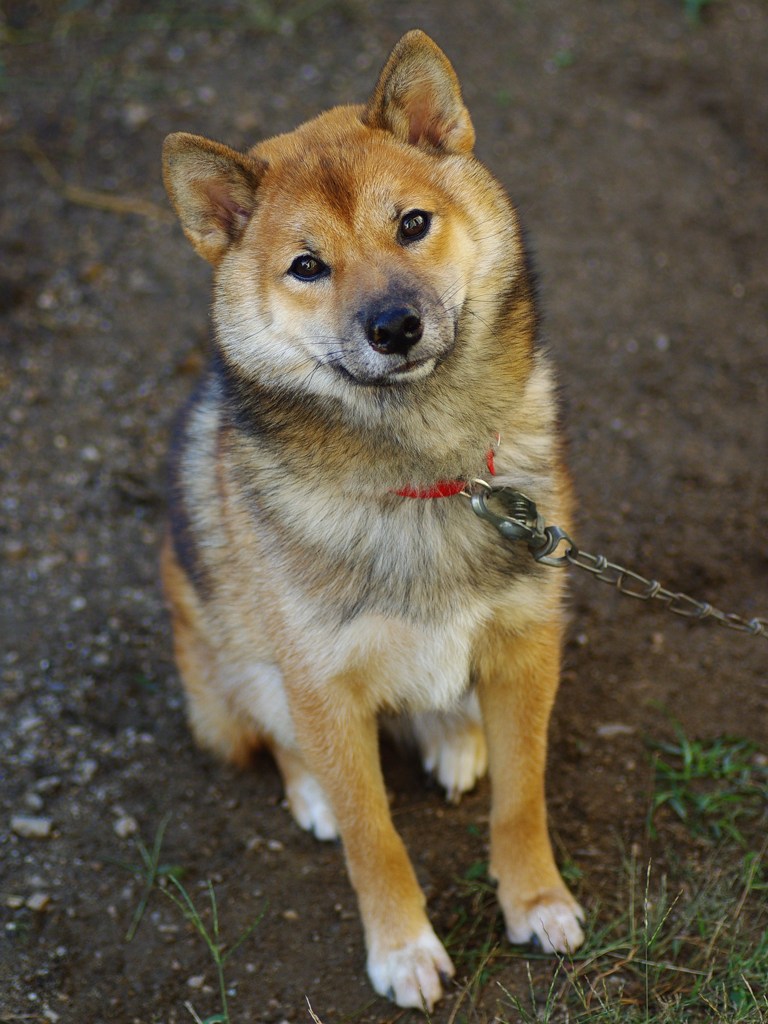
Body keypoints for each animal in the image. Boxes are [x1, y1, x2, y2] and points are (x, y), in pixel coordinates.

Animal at [160, 29, 581, 1007]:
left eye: (413, 224)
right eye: (307, 266)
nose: (394, 325)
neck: (428, 477)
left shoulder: (528, 640)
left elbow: (524, 797)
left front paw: (535, 898)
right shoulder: (324, 685)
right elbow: (372, 835)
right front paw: (401, 948)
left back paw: (456, 735)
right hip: (222, 663)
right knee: (271, 733)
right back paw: (311, 787)